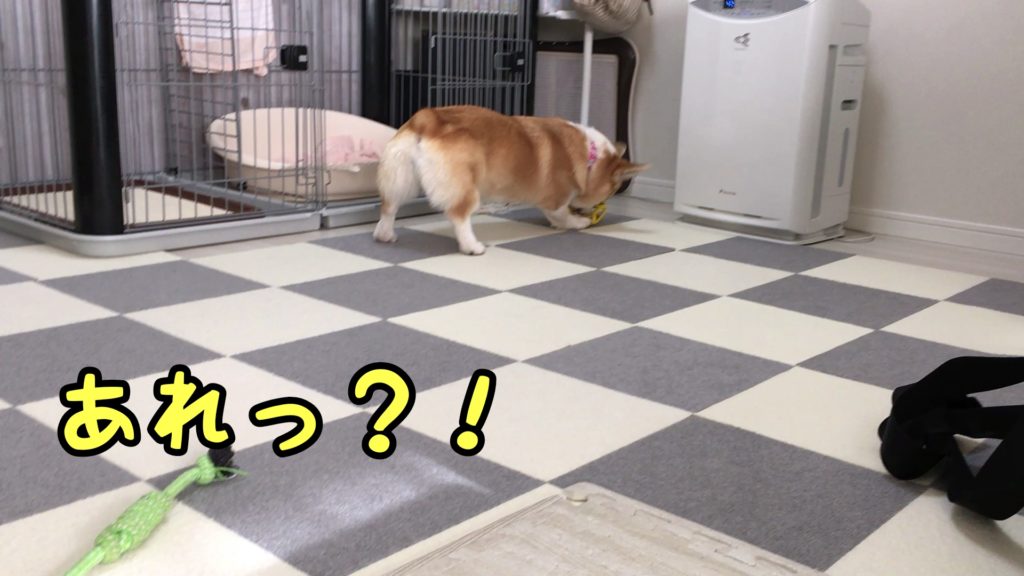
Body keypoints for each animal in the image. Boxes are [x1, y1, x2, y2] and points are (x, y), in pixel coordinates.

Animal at [373, 106, 649, 255]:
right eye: (610, 192)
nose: (598, 208)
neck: (590, 156)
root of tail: (428, 118)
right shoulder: (555, 200)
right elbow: (562, 216)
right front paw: (578, 222)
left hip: (399, 178)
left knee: (389, 207)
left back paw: (384, 234)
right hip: (466, 189)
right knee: (459, 215)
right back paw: (472, 246)